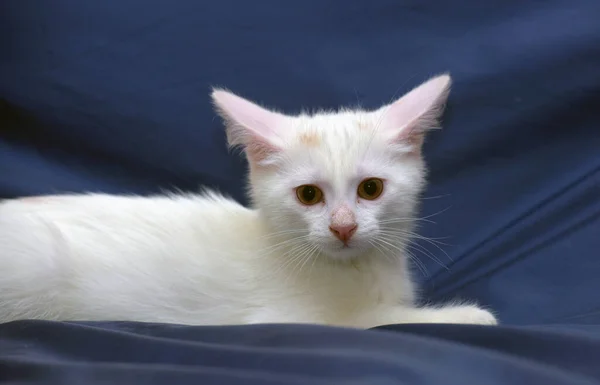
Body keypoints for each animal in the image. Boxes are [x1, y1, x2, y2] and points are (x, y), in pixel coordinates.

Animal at [0, 74, 496, 328]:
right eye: (309, 195)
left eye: (370, 189)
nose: (343, 226)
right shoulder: (290, 319)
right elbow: (386, 321)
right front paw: (471, 316)